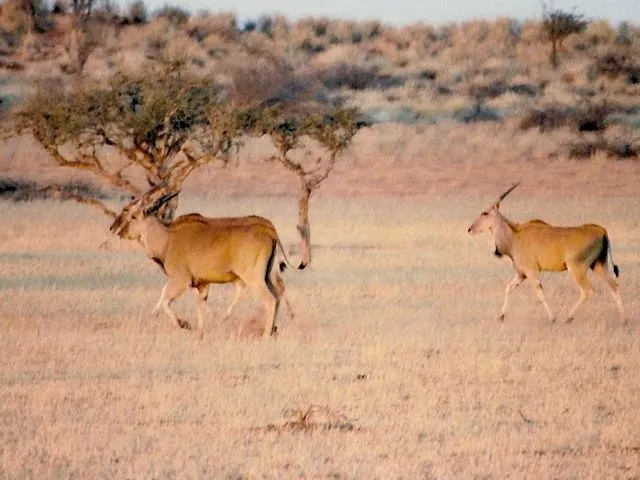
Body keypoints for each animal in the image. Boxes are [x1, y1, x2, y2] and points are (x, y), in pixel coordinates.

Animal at [109, 191, 304, 338]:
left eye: (132, 215)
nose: (114, 228)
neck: (168, 239)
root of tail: (271, 234)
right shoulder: (202, 285)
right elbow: (199, 308)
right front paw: (200, 334)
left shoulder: (181, 281)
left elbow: (166, 301)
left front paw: (184, 324)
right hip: (265, 276)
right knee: (277, 296)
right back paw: (272, 330)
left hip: (253, 278)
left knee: (269, 299)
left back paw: (265, 335)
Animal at [468, 183, 624, 322]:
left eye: (485, 213)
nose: (470, 229)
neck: (514, 236)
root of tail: (602, 230)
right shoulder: (521, 275)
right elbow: (508, 288)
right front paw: (501, 316)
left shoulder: (531, 272)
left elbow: (539, 293)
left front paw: (552, 318)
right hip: (598, 266)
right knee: (614, 286)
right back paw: (623, 318)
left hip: (577, 269)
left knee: (587, 291)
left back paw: (569, 317)